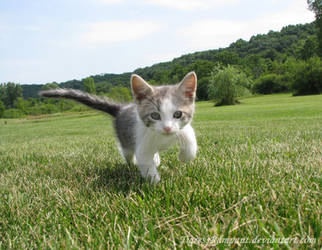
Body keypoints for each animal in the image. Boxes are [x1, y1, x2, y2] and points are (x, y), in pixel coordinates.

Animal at [39, 71, 197, 183]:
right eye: (155, 115)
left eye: (177, 114)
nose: (167, 128)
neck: (163, 138)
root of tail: (121, 108)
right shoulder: (142, 142)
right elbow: (144, 161)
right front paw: (155, 183)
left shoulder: (182, 128)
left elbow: (189, 137)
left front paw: (185, 157)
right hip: (125, 142)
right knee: (128, 154)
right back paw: (135, 163)